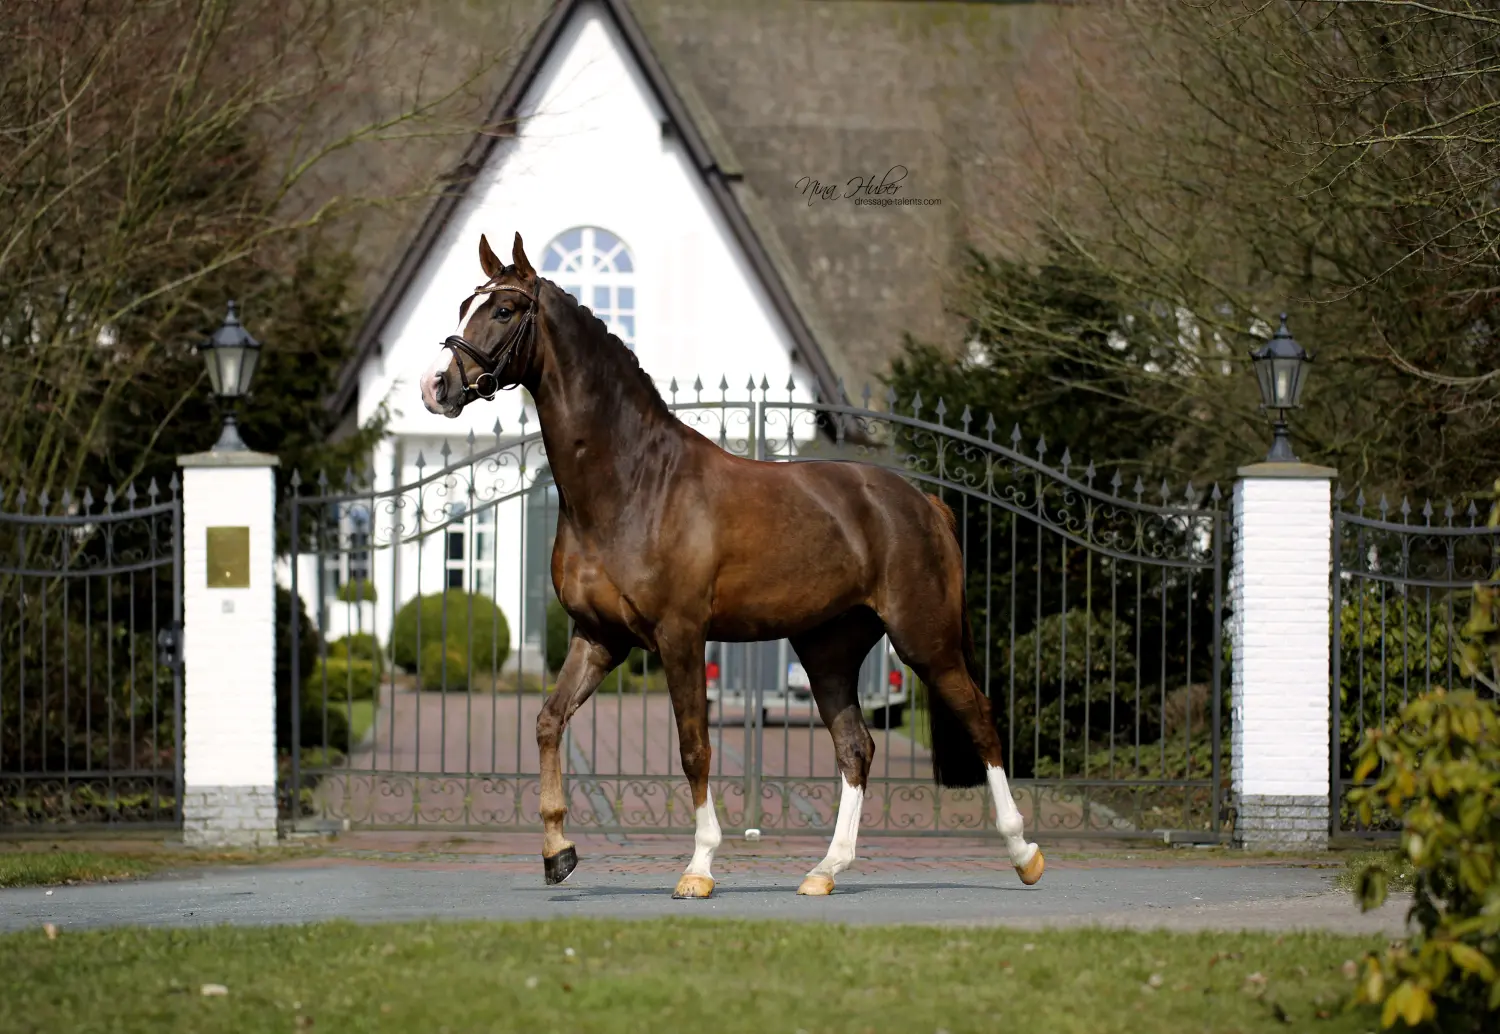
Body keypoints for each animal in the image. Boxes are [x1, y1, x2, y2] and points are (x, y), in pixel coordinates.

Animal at [419, 232, 1045, 898]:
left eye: (504, 310)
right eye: (465, 303)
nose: (436, 387)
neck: (634, 482)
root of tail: (922, 502)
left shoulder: (680, 635)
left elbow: (695, 747)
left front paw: (698, 868)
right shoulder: (599, 638)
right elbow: (547, 720)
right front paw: (558, 852)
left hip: (926, 640)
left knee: (981, 720)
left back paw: (1023, 851)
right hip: (828, 651)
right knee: (856, 747)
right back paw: (824, 871)